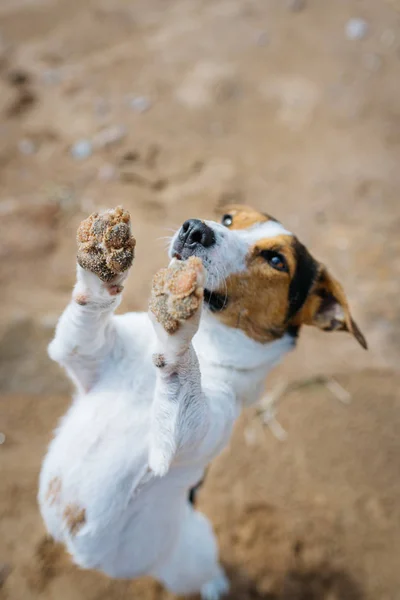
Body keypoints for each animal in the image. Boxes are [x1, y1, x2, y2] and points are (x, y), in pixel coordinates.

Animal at [39, 204, 368, 596]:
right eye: (228, 218)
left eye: (276, 260)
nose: (195, 229)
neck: (210, 345)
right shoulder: (81, 354)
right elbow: (89, 313)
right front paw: (104, 252)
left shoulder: (192, 432)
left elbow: (183, 372)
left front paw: (177, 314)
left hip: (193, 555)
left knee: (207, 571)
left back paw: (215, 585)